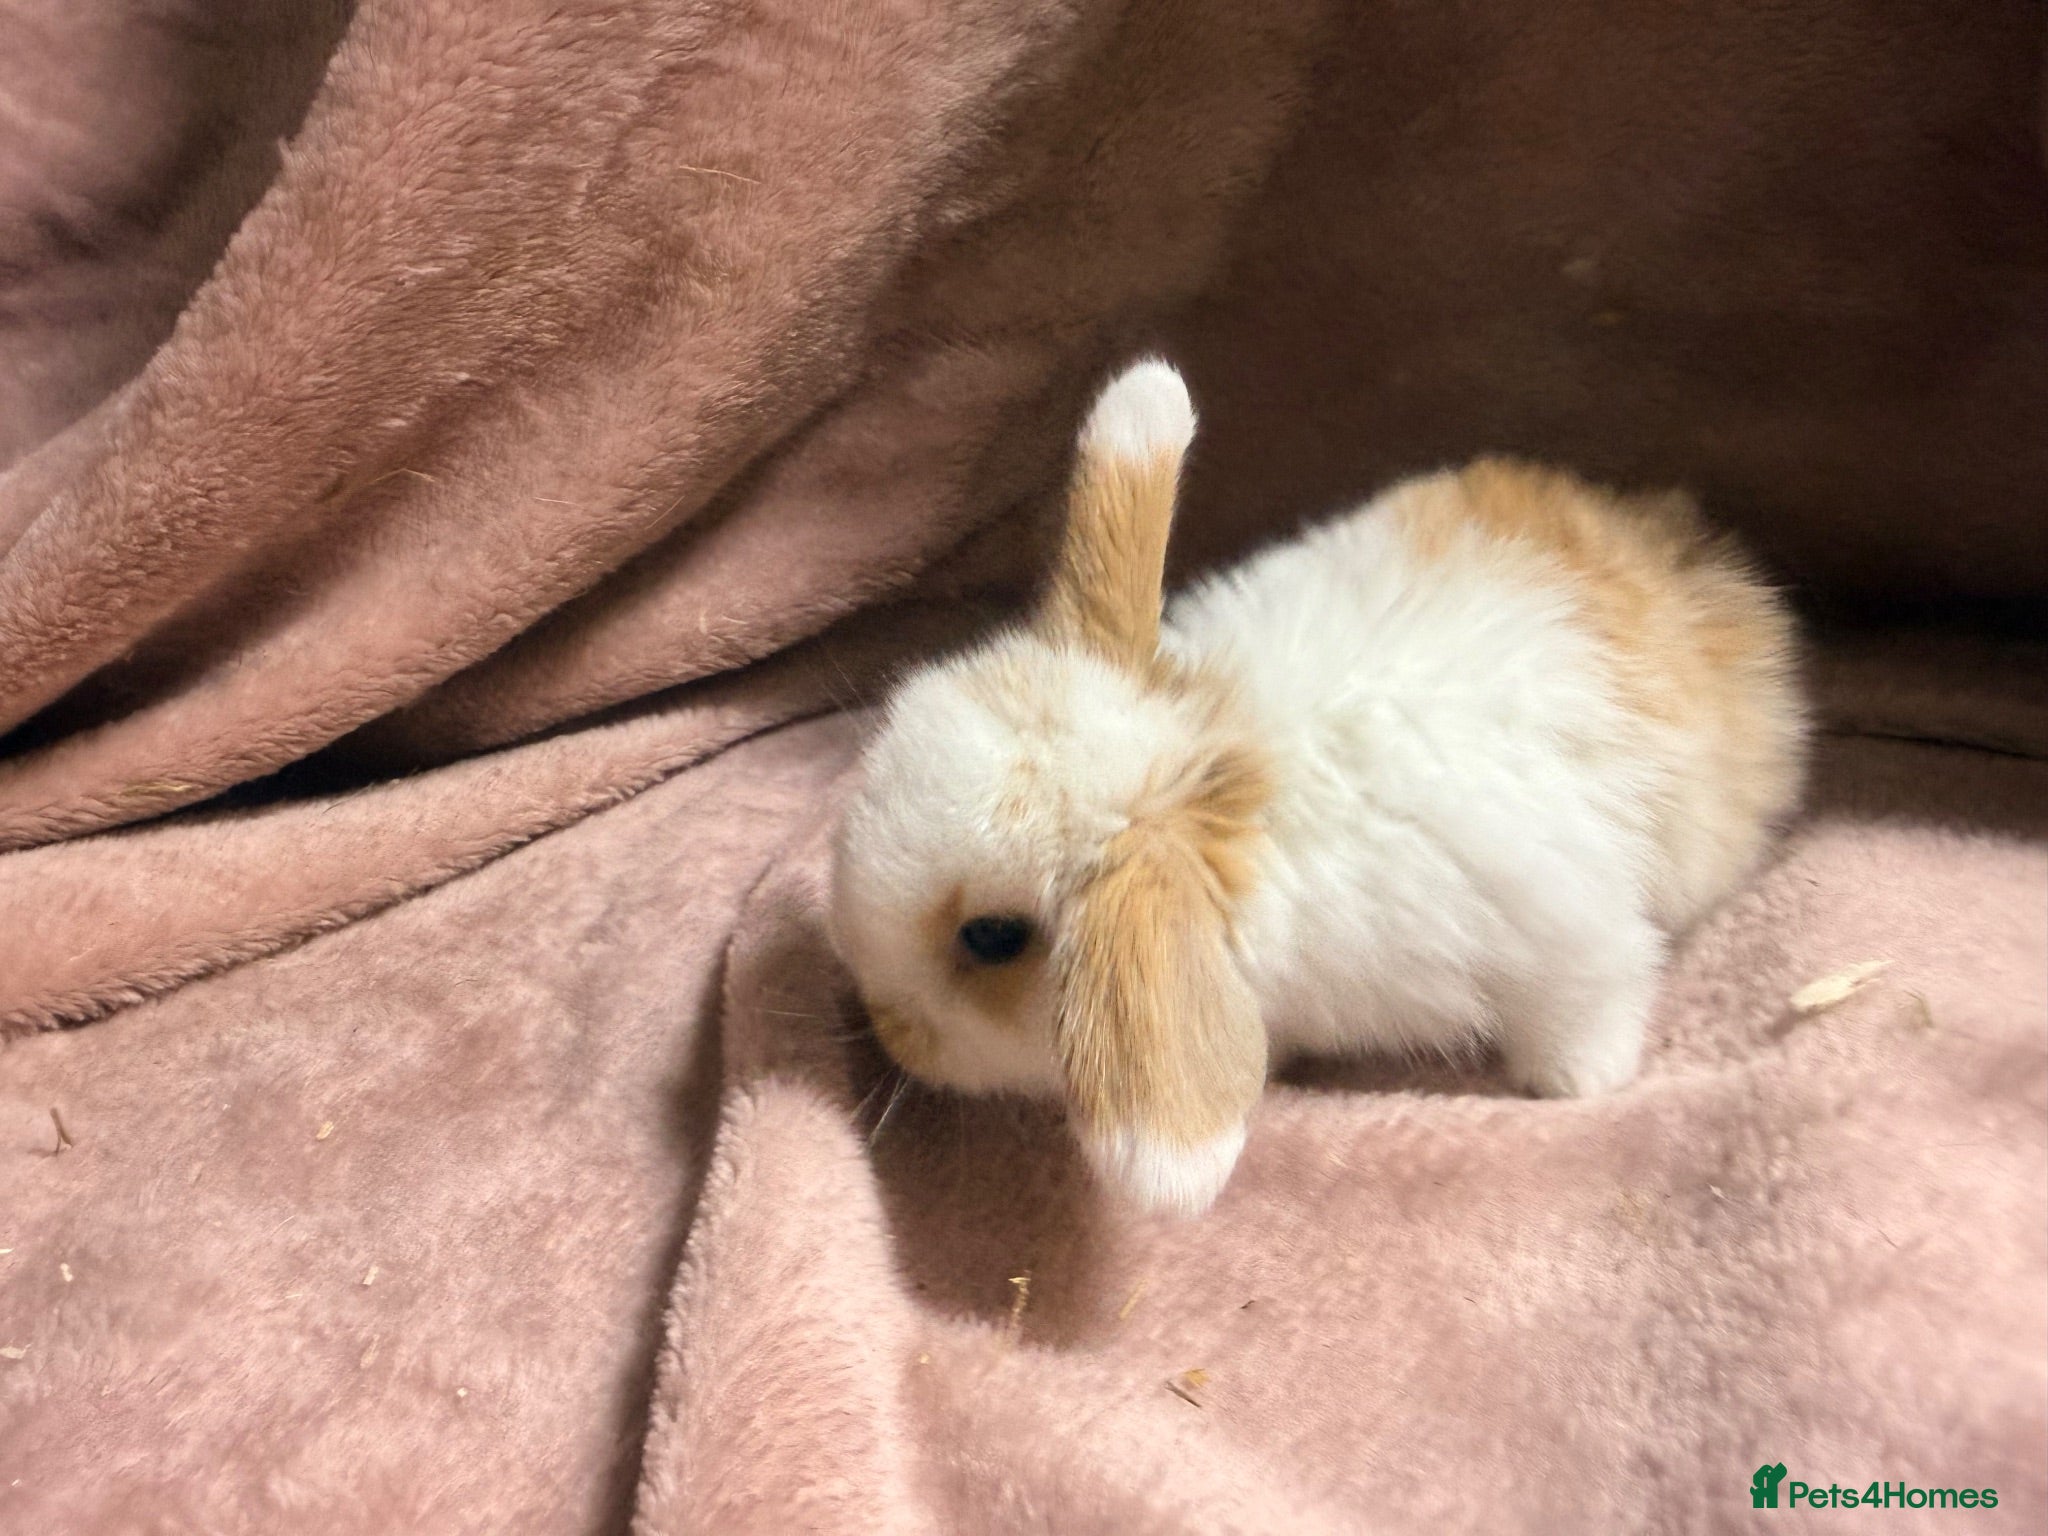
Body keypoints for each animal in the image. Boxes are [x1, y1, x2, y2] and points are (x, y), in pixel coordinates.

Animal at [828, 358, 1806, 1217]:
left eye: (993, 938)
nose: (884, 1025)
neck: (1223, 768)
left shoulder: (1567, 932)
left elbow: (1598, 991)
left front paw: (1572, 1084)